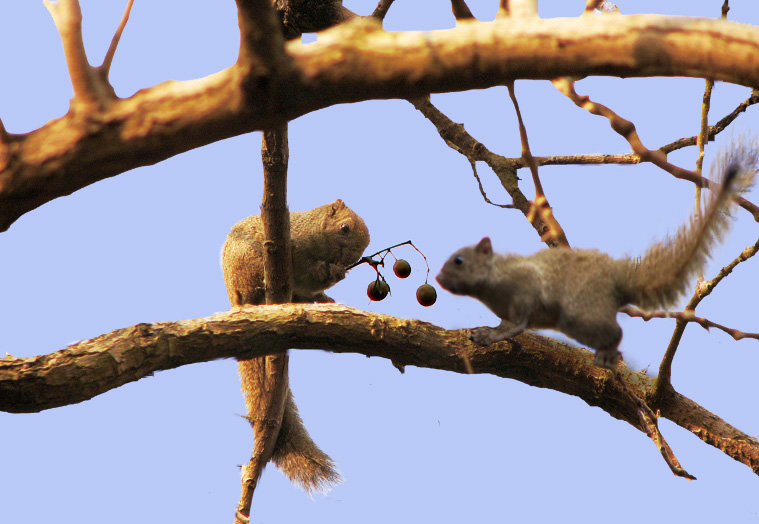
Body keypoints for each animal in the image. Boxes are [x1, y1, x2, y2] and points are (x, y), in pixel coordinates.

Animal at [223, 199, 372, 494]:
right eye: (345, 228)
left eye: (359, 253)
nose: (345, 260)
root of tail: (237, 301)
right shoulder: (295, 251)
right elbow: (307, 273)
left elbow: (315, 282)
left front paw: (336, 276)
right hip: (247, 264)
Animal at [436, 141, 756, 366]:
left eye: (459, 260)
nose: (438, 279)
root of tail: (616, 282)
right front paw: (487, 330)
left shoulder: (524, 292)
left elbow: (515, 326)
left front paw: (489, 335)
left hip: (580, 315)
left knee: (615, 332)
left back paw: (606, 353)